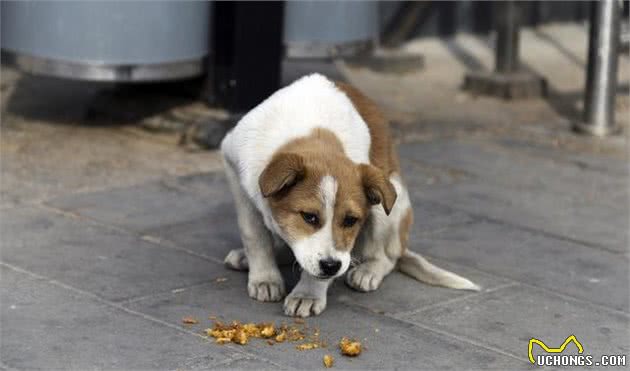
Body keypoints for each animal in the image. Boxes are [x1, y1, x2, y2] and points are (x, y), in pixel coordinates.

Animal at [221, 74, 478, 318]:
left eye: (351, 221)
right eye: (309, 217)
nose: (331, 266)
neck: (313, 129)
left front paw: (308, 294)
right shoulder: (236, 170)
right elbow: (254, 235)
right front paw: (265, 278)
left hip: (388, 202)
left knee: (386, 257)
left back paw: (368, 271)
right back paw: (247, 258)